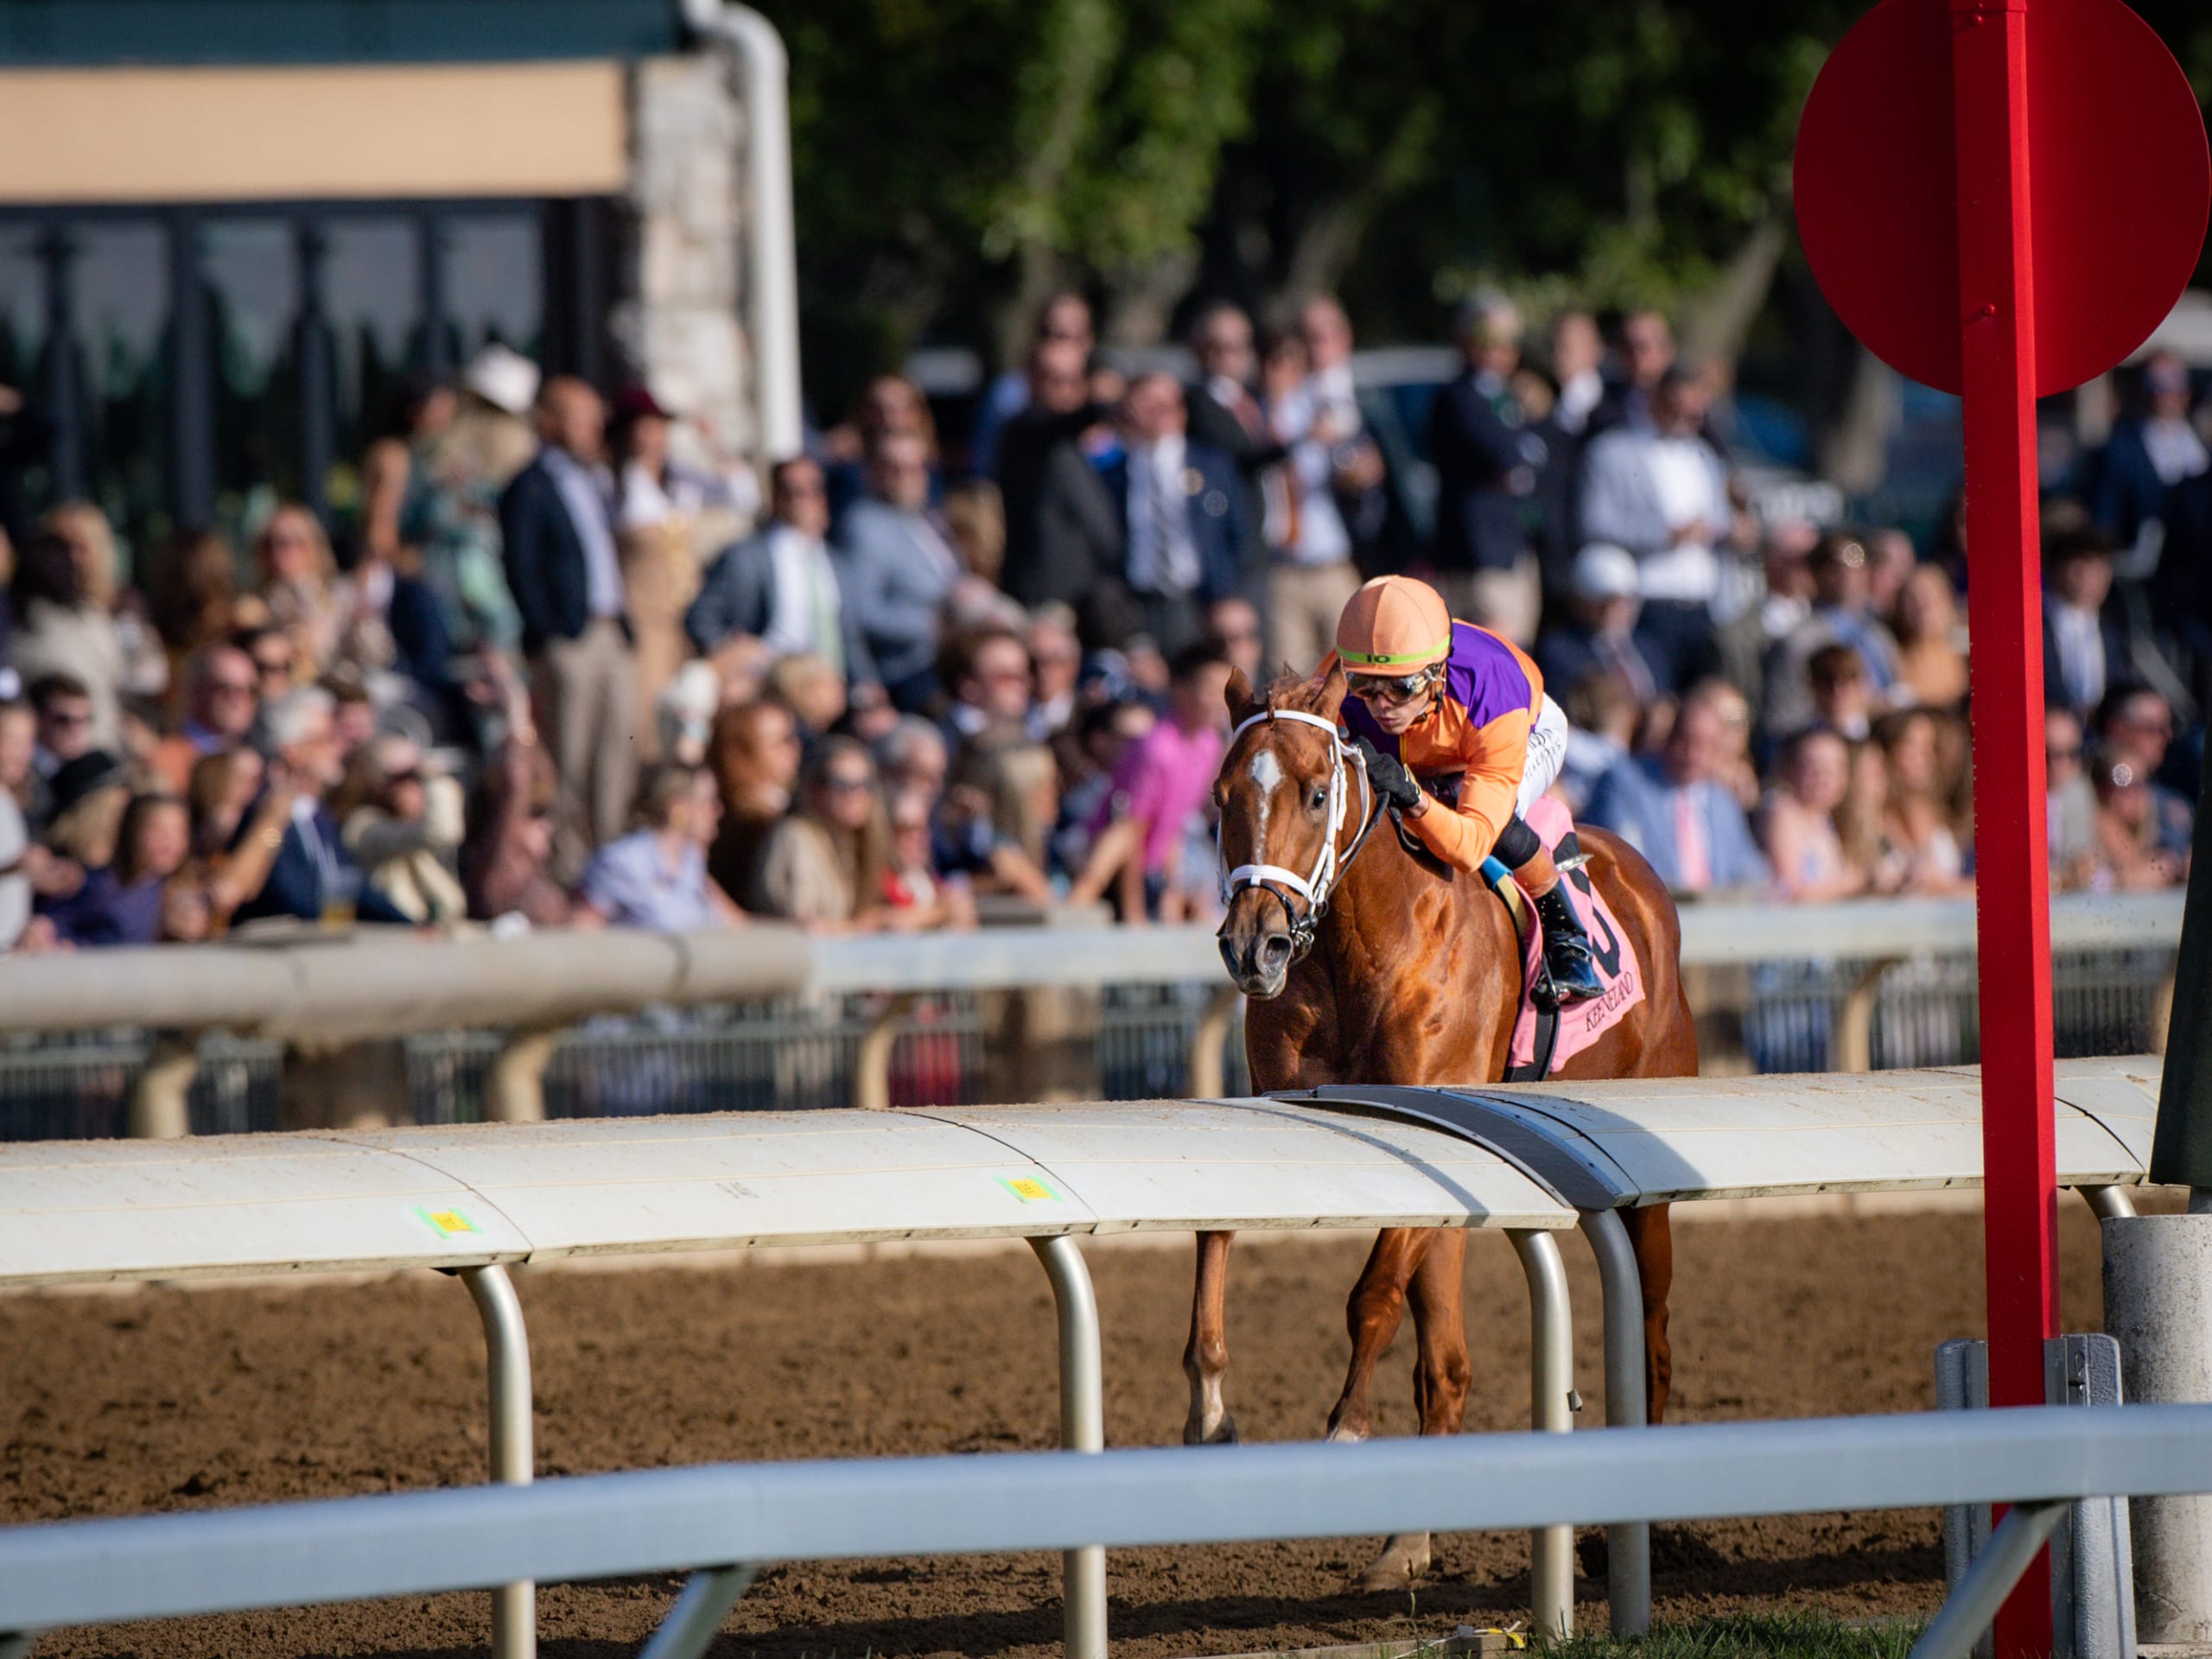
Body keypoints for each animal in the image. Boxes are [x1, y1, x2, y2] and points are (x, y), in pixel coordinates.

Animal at [1196, 662, 1700, 1590]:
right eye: (1221, 797)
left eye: (1317, 793)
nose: (1254, 948)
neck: (1364, 944)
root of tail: (1644, 883)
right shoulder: (1285, 1112)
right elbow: (1218, 1231)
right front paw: (1210, 1406)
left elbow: (1371, 1295)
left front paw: (1347, 1426)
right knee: (1449, 1359)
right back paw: (1409, 1540)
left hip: (1648, 1182)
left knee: (1653, 1333)